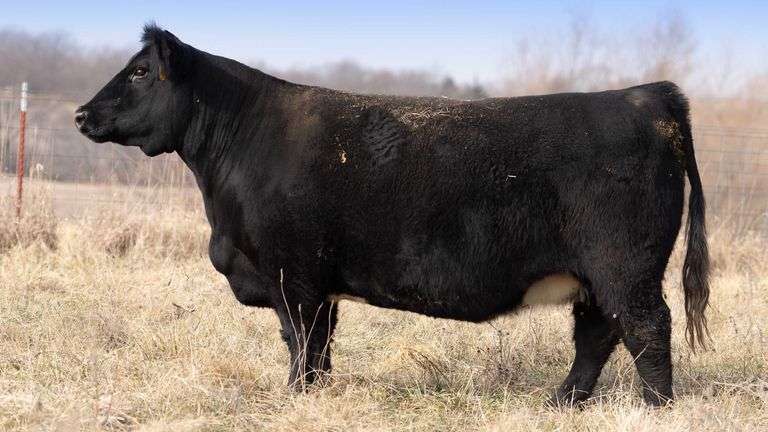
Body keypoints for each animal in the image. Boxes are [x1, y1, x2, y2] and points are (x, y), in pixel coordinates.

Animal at [76, 24, 710, 407]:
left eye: (139, 72)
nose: (81, 113)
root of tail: (647, 96)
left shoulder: (292, 274)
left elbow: (300, 340)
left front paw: (296, 397)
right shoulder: (316, 283)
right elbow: (318, 346)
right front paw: (313, 394)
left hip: (624, 266)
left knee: (647, 329)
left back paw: (655, 407)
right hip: (596, 275)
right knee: (598, 335)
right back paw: (561, 403)